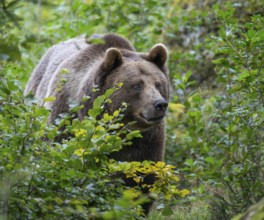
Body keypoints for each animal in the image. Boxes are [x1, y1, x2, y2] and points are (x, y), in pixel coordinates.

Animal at [24, 34, 169, 213]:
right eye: (136, 85)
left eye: (158, 84)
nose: (160, 104)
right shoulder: (66, 118)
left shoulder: (147, 141)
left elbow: (140, 179)